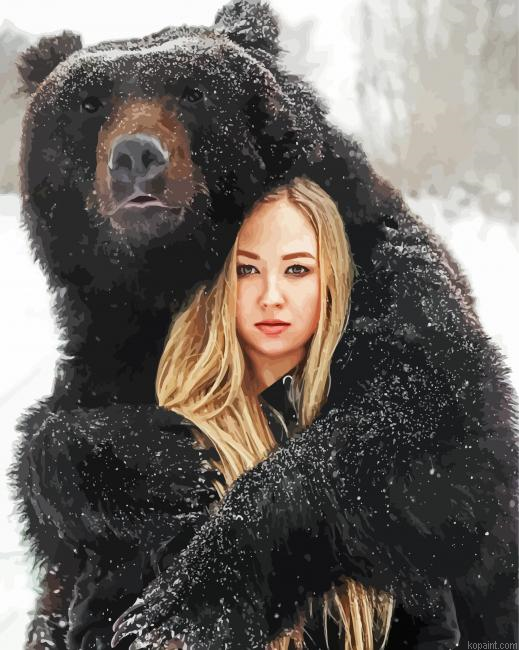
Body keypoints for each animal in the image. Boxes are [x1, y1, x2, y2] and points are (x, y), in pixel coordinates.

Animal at [11, 1, 518, 649]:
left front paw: (179, 608)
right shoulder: (107, 343)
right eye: (89, 102)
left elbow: (428, 423)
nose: (135, 158)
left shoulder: (379, 277)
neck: (170, 280)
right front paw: (154, 465)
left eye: (193, 91)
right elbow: (51, 452)